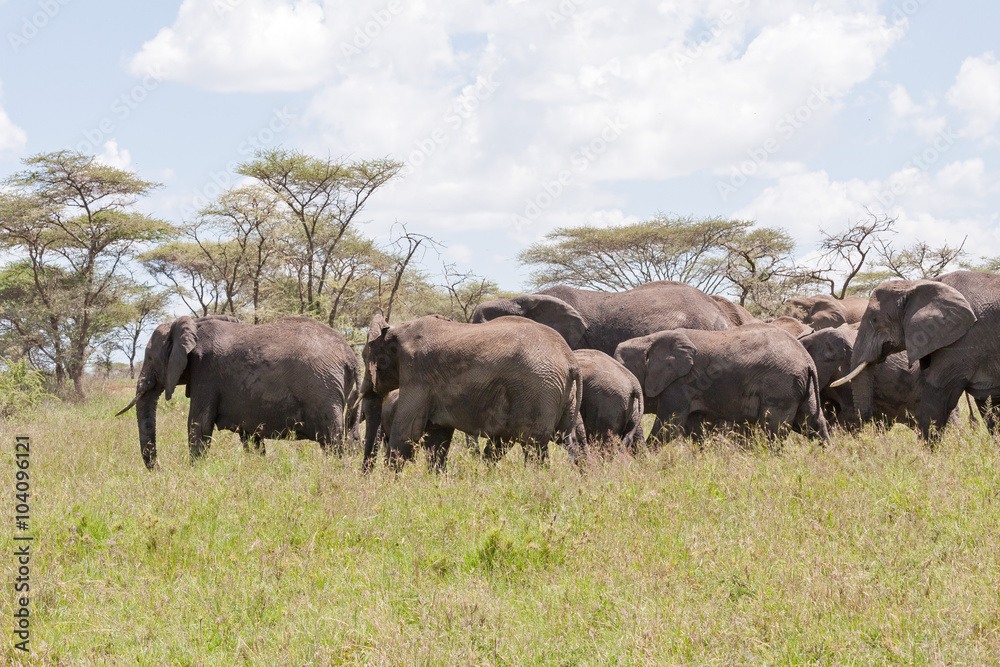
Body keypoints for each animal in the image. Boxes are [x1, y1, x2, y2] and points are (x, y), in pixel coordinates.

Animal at [117, 314, 360, 468]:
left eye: (150, 358)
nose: (159, 469)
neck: (193, 323)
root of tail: (351, 357)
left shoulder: (207, 374)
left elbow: (199, 425)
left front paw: (194, 472)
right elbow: (250, 436)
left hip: (323, 390)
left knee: (333, 442)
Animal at [362, 314, 584, 470]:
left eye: (365, 359)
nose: (366, 474)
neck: (397, 330)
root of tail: (570, 361)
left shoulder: (416, 375)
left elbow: (407, 431)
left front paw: (389, 484)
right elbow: (438, 436)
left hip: (538, 389)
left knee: (533, 445)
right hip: (561, 394)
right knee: (562, 440)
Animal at [612, 324, 832, 444]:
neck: (649, 340)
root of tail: (807, 360)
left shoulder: (680, 385)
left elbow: (668, 428)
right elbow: (695, 430)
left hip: (781, 385)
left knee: (774, 430)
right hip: (799, 386)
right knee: (811, 424)